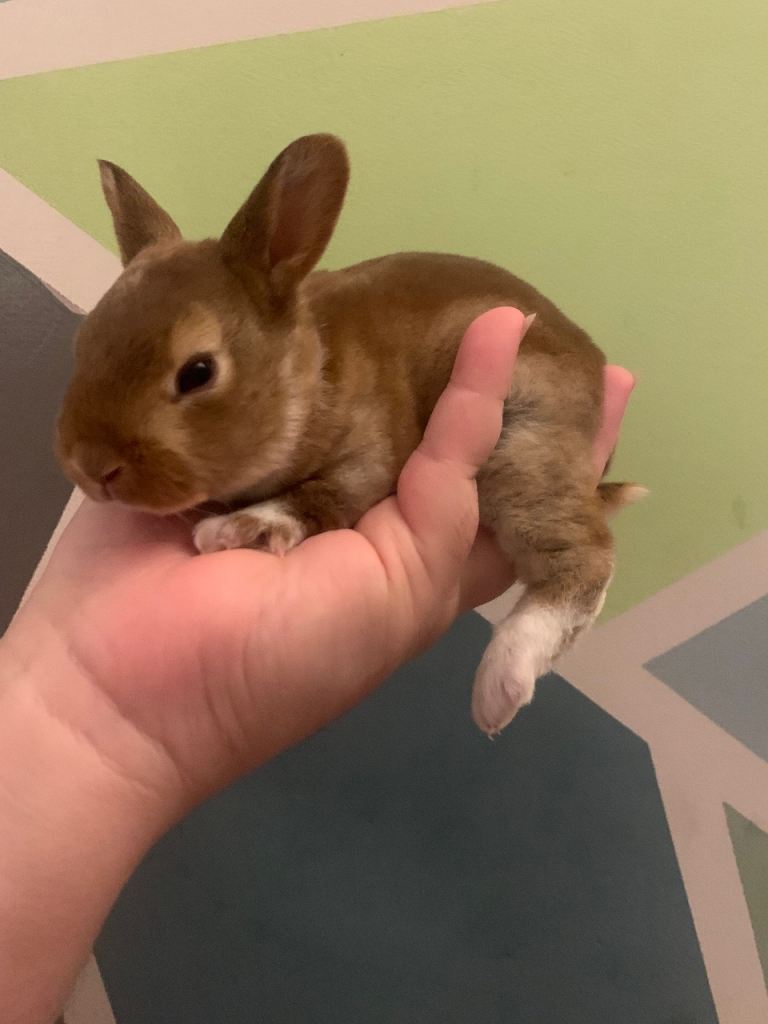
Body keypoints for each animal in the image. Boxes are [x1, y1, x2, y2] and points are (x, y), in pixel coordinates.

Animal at [55, 133, 643, 735]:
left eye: (197, 372)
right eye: (86, 342)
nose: (90, 468)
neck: (309, 376)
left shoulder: (368, 455)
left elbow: (322, 496)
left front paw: (237, 530)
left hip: (525, 437)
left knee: (586, 557)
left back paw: (500, 685)